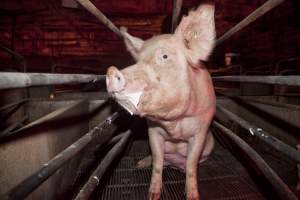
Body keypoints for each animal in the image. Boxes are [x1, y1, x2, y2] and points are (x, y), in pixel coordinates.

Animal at [106, 3, 217, 200]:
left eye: (164, 57)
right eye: (138, 60)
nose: (111, 71)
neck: (174, 123)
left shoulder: (201, 131)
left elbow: (191, 166)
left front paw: (192, 196)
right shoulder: (153, 131)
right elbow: (157, 162)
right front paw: (152, 195)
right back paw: (140, 164)